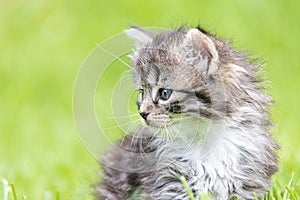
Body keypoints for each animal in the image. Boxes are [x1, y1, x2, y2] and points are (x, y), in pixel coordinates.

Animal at [94, 26, 278, 200]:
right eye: (141, 92)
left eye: (164, 93)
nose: (142, 113)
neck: (206, 141)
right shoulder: (169, 183)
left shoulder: (250, 181)